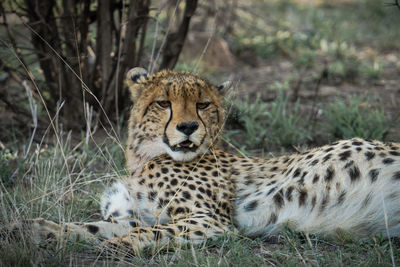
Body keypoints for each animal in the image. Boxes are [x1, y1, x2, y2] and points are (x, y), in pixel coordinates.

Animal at [1, 68, 398, 254]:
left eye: (203, 104)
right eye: (163, 103)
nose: (188, 127)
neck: (143, 158)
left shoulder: (209, 220)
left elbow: (145, 233)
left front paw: (112, 249)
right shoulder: (134, 215)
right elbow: (91, 227)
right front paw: (31, 229)